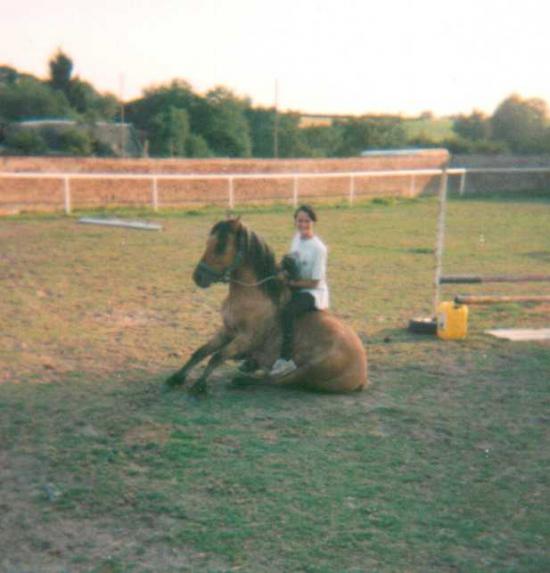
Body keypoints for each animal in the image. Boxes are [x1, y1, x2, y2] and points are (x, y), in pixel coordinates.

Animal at [165, 217, 370, 396]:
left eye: (221, 246)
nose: (198, 277)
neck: (253, 294)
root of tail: (362, 374)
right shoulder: (227, 330)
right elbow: (201, 351)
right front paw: (177, 377)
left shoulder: (246, 338)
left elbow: (218, 356)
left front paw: (199, 386)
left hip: (308, 370)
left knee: (278, 380)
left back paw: (243, 379)